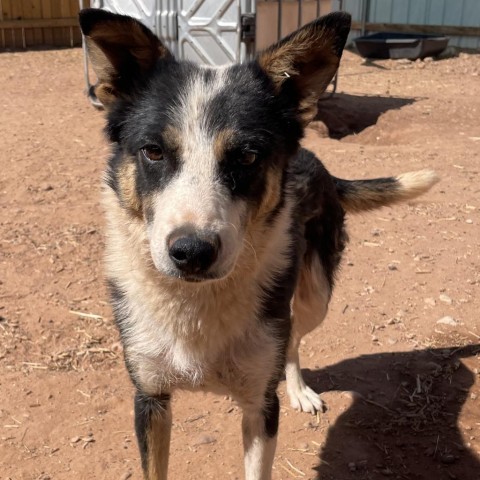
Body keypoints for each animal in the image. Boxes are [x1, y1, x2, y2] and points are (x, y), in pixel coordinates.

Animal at [79, 8, 438, 480]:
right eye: (153, 152)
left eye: (247, 156)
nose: (191, 253)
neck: (197, 304)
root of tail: (318, 162)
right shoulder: (150, 399)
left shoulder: (260, 407)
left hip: (315, 296)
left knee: (294, 339)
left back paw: (300, 389)